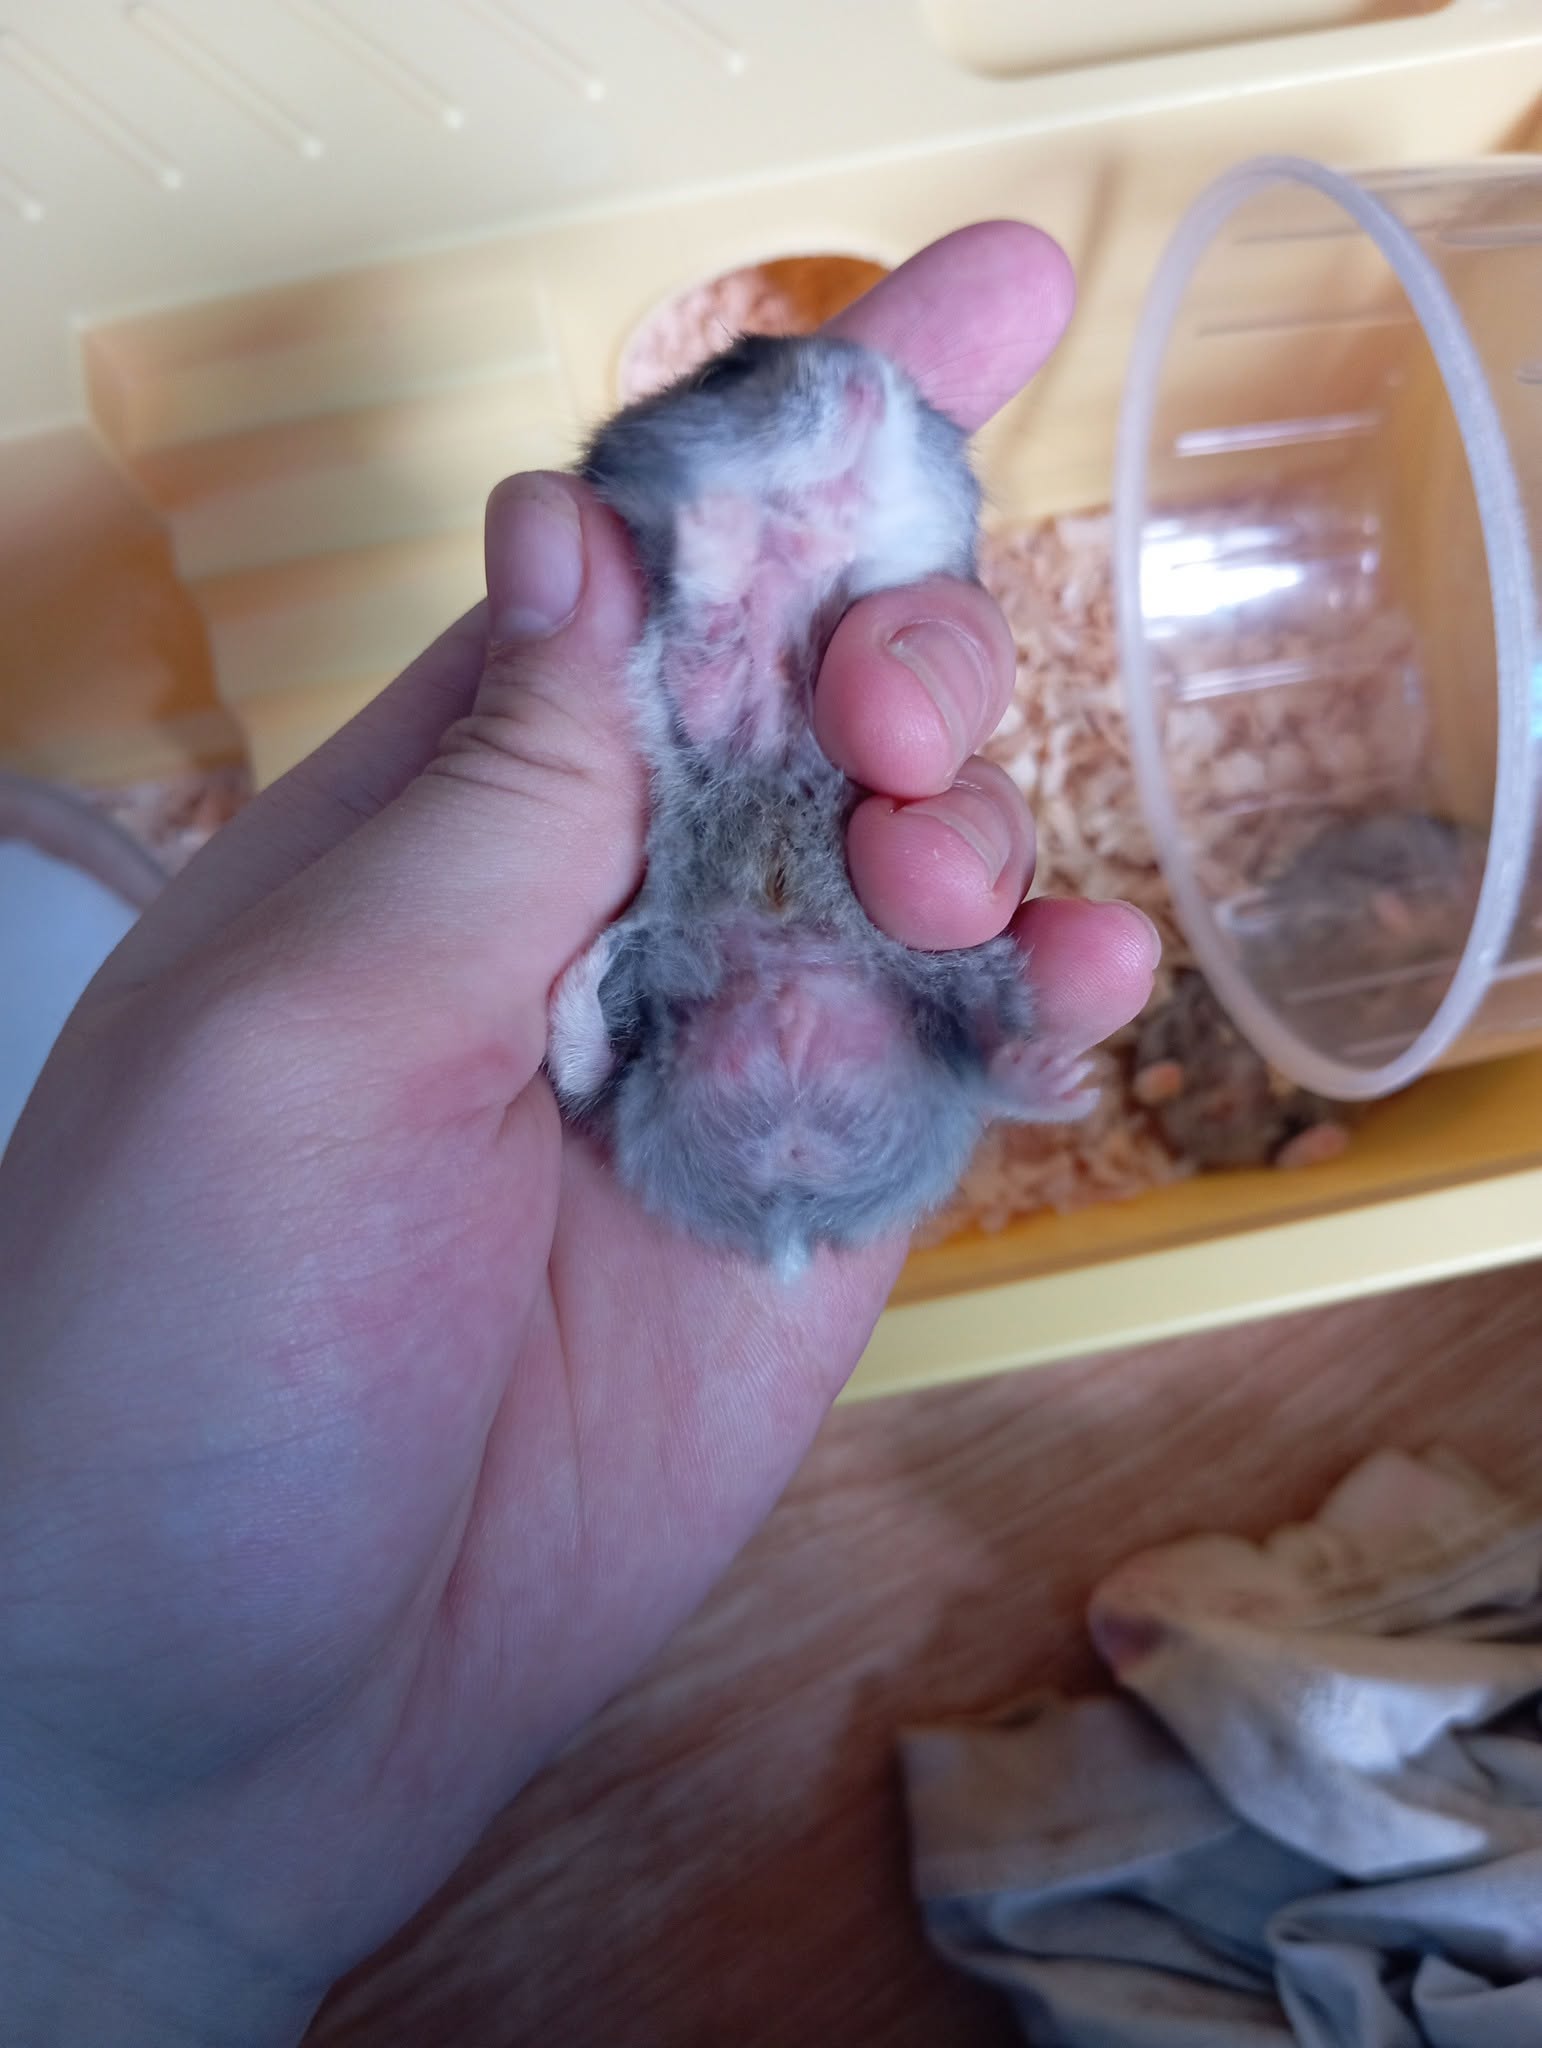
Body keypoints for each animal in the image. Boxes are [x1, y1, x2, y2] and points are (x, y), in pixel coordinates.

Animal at [545, 333, 1095, 1273]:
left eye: (922, 400)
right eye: (724, 369)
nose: (870, 378)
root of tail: (788, 1201)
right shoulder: (693, 682)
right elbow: (713, 629)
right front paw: (717, 522)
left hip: (958, 971)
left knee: (977, 1062)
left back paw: (1053, 1075)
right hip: (651, 997)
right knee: (592, 1074)